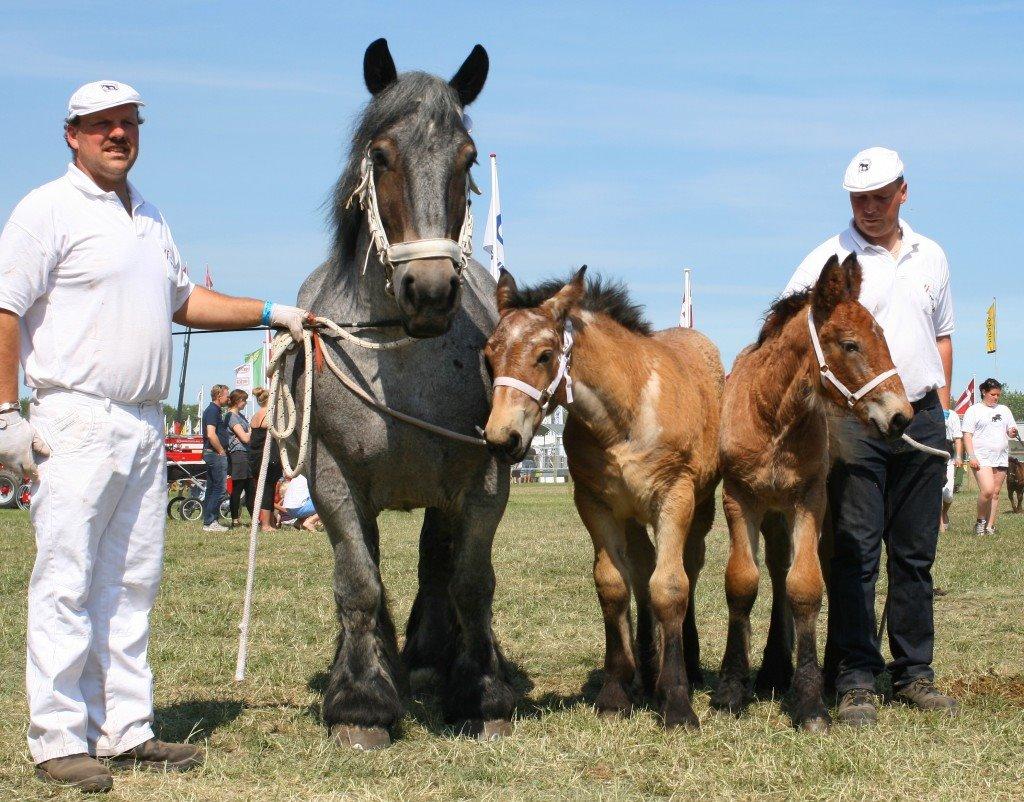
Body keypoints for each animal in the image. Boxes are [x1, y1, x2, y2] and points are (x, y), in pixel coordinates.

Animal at [290, 39, 516, 753]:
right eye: (382, 156)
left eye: (467, 160)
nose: (430, 291)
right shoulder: (333, 481)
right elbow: (359, 585)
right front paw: (360, 703)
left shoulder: (482, 481)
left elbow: (469, 581)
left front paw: (480, 693)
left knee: (436, 564)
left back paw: (428, 658)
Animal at [483, 268, 724, 729]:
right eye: (488, 357)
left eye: (544, 355)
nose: (502, 439)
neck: (625, 418)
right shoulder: (595, 503)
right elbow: (613, 585)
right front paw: (615, 691)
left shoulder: (675, 497)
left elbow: (671, 586)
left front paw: (677, 701)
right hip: (631, 516)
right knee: (642, 569)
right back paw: (646, 670)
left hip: (699, 509)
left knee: (687, 568)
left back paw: (687, 665)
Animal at [712, 254, 913, 729]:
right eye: (850, 344)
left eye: (882, 337)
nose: (902, 416)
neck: (772, 415)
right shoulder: (739, 499)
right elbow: (742, 582)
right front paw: (731, 689)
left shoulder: (809, 500)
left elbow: (804, 586)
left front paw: (809, 701)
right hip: (772, 513)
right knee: (776, 567)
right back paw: (771, 669)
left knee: (818, 569)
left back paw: (820, 669)